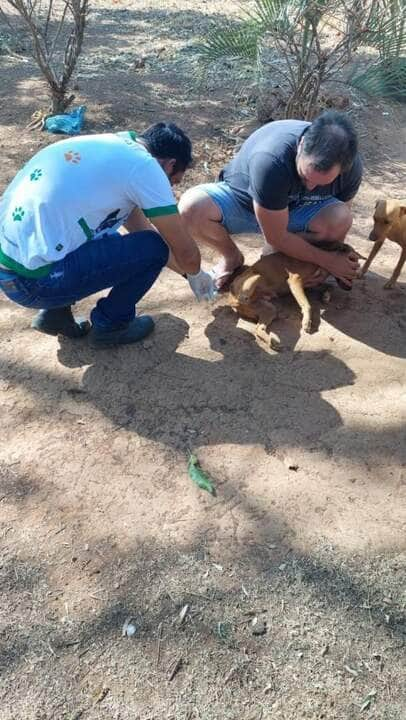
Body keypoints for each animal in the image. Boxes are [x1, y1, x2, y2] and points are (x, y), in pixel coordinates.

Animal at [230, 242, 360, 348]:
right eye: (349, 273)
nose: (350, 288)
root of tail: (232, 300)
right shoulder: (295, 280)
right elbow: (307, 305)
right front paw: (307, 322)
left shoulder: (309, 284)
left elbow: (329, 286)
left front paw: (326, 296)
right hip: (253, 280)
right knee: (249, 286)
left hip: (269, 309)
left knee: (258, 329)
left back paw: (272, 342)